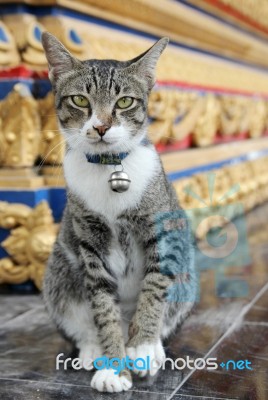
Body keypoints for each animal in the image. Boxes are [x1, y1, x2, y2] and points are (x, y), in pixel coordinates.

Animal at [42, 32, 197, 394]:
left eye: (125, 102)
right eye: (80, 100)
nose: (101, 127)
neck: (109, 167)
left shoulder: (161, 231)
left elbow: (154, 288)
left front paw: (143, 346)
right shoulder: (90, 241)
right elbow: (103, 306)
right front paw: (114, 366)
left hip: (187, 272)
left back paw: (151, 346)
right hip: (59, 272)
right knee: (79, 319)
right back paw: (92, 351)